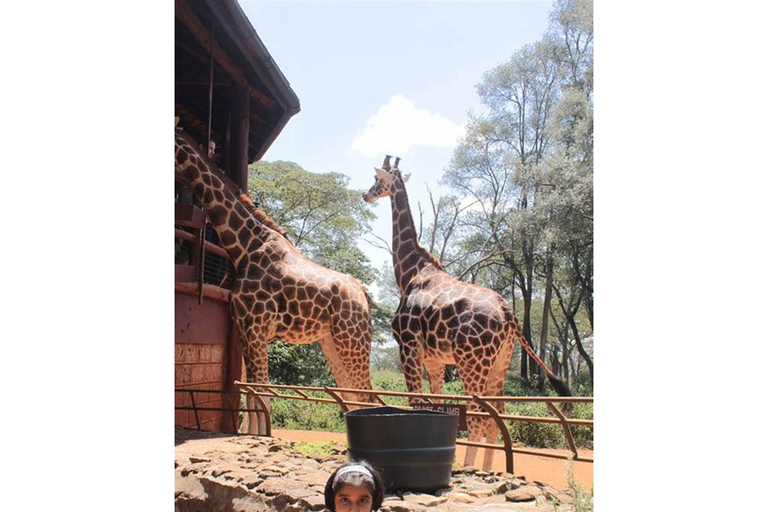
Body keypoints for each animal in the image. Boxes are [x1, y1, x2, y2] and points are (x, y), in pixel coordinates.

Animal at [175, 126, 378, 434]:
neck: (244, 247)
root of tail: (364, 297)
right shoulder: (245, 331)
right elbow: (251, 392)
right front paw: (253, 434)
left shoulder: (257, 329)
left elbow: (262, 392)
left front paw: (261, 436)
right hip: (331, 342)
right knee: (350, 394)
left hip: (352, 340)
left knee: (365, 395)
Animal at [362, 155, 568, 468]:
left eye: (378, 179)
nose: (366, 194)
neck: (410, 271)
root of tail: (508, 313)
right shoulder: (434, 359)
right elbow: (434, 404)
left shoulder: (408, 347)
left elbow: (415, 401)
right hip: (499, 363)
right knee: (497, 416)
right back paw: (491, 469)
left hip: (472, 362)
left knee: (478, 416)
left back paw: (471, 467)